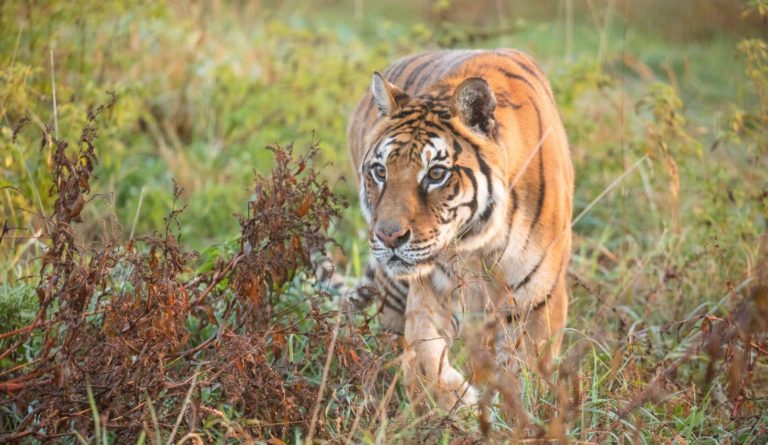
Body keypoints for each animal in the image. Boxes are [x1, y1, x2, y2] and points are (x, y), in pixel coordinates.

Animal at [342, 48, 568, 410]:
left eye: (436, 174)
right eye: (380, 171)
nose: (388, 237)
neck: (479, 244)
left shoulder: (538, 299)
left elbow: (527, 375)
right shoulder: (427, 291)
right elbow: (425, 356)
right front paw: (456, 404)